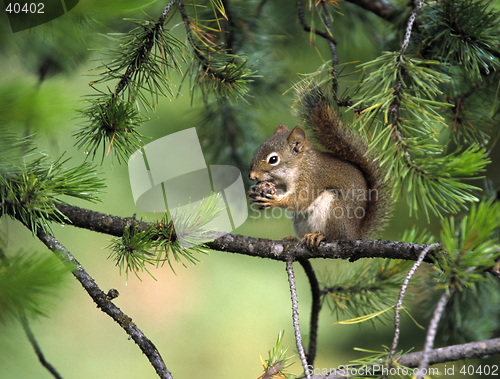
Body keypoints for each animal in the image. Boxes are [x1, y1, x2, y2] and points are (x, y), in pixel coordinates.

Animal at [248, 86, 388, 248]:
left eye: (273, 159)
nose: (252, 176)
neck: (300, 166)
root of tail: (354, 235)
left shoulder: (312, 179)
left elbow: (301, 200)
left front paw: (274, 201)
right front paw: (254, 192)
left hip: (333, 212)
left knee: (334, 237)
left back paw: (319, 236)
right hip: (300, 221)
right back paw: (295, 239)